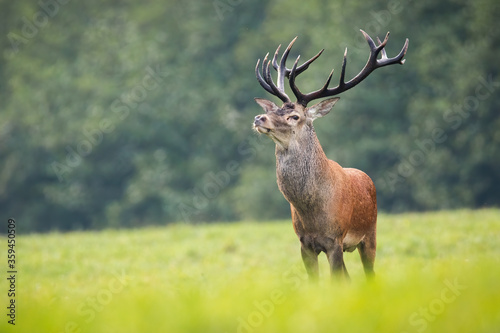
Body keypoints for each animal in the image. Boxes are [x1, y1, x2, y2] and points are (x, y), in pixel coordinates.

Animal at [252, 30, 408, 280]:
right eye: (274, 109)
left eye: (294, 116)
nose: (259, 118)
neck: (311, 211)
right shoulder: (304, 243)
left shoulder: (335, 239)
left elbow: (336, 281)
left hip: (370, 233)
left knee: (369, 274)